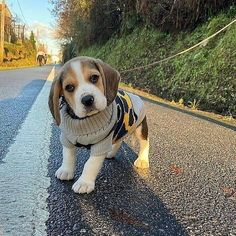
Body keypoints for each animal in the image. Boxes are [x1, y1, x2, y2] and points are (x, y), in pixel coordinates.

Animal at [47, 56, 149, 194]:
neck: (85, 121)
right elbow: (68, 155)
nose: (87, 100)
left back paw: (143, 160)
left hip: (140, 128)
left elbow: (90, 164)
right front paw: (66, 170)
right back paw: (111, 153)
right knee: (119, 141)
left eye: (94, 78)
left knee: (145, 143)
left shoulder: (101, 143)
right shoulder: (67, 139)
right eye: (69, 87)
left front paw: (84, 183)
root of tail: (135, 95)